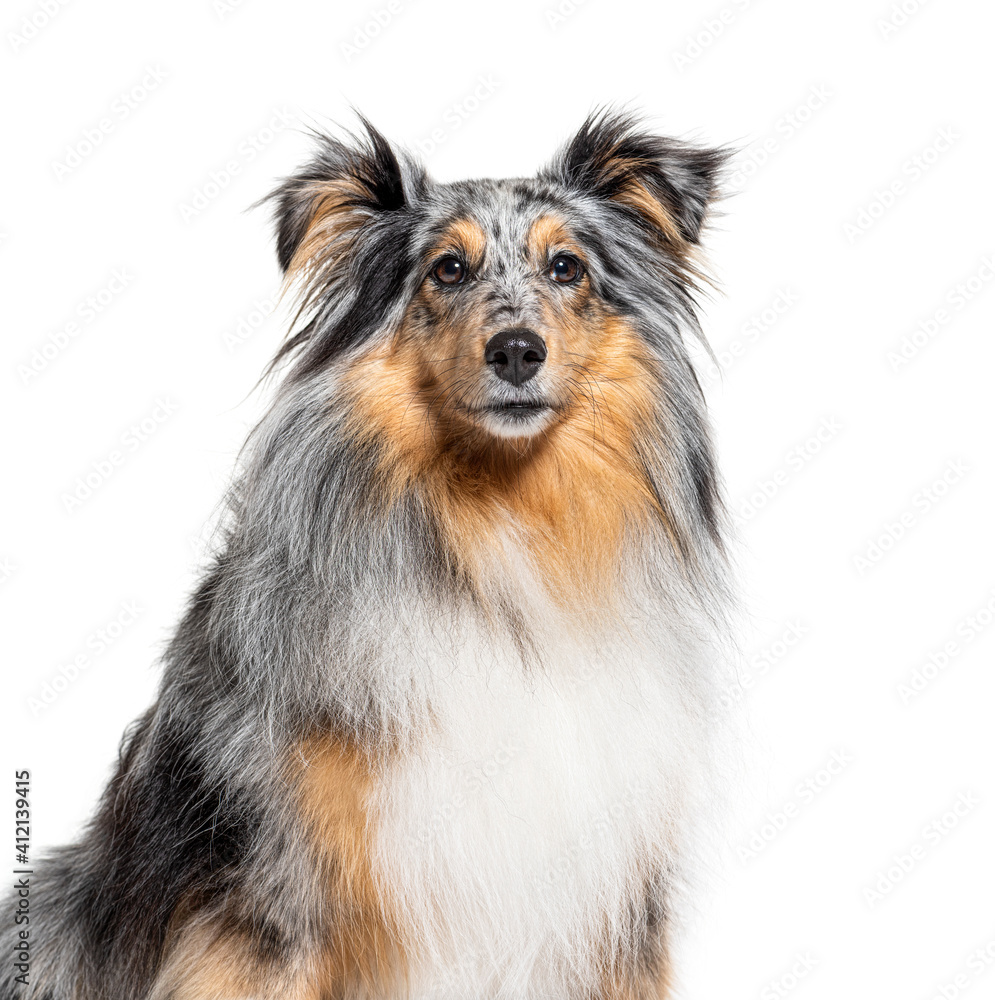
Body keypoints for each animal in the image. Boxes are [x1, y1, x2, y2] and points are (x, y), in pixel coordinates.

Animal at [3, 111, 736, 1000]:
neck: (498, 529)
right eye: (446, 269)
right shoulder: (275, 900)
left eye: (566, 268)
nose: (516, 350)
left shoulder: (609, 904)